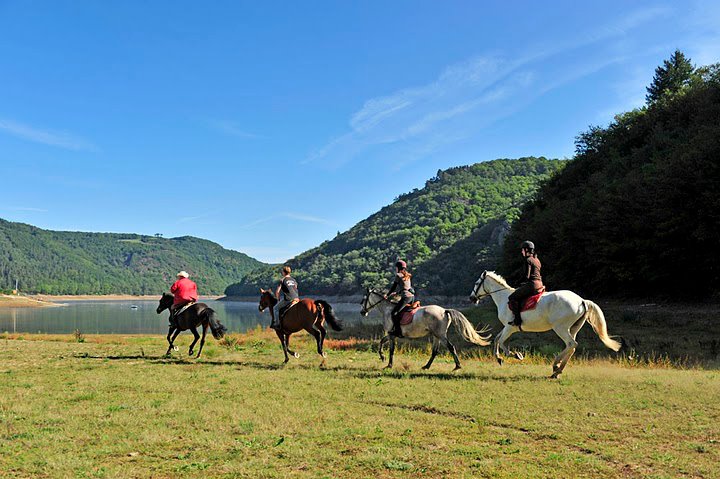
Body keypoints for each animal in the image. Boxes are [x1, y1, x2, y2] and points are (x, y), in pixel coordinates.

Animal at [360, 288, 496, 372]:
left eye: (363, 299)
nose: (362, 312)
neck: (388, 309)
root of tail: (444, 310)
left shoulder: (391, 334)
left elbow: (388, 347)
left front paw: (387, 363)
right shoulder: (391, 334)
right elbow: (382, 342)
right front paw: (384, 359)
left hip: (440, 335)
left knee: (451, 347)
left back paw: (457, 366)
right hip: (436, 335)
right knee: (435, 351)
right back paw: (426, 366)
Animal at [470, 272, 620, 376]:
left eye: (477, 283)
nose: (472, 298)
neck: (503, 297)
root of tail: (582, 300)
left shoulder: (510, 327)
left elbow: (501, 342)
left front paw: (516, 355)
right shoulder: (507, 327)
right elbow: (496, 339)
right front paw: (499, 358)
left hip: (560, 328)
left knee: (571, 344)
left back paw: (556, 366)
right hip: (573, 328)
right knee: (572, 347)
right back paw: (557, 370)